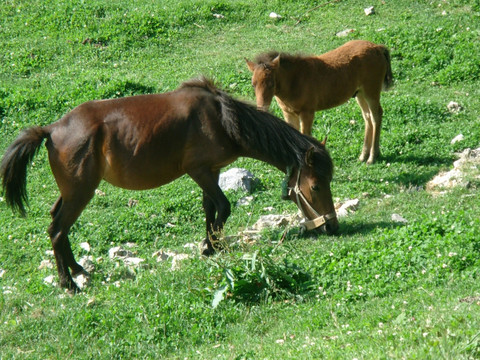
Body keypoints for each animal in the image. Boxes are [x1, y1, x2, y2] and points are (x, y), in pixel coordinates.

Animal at [0, 76, 338, 292]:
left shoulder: (211, 171)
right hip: (80, 192)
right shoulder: (198, 170)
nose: (332, 226)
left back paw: (77, 270)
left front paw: (209, 246)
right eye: (317, 186)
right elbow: (223, 206)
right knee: (57, 230)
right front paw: (214, 246)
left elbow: (209, 208)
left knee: (57, 225)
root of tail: (51, 129)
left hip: (70, 192)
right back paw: (68, 283)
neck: (221, 119)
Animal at [248, 40, 394, 164]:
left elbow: (305, 135)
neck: (294, 81)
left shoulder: (307, 113)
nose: (262, 108)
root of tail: (378, 47)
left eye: (272, 84)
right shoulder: (288, 113)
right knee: (367, 117)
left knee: (376, 115)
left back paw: (372, 156)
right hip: (360, 94)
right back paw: (363, 155)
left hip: (371, 92)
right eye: (253, 84)